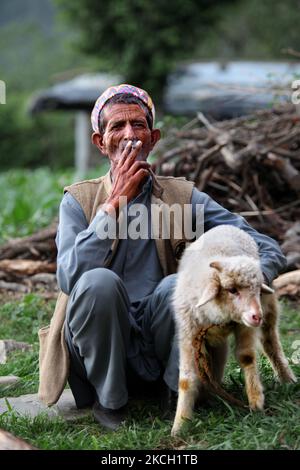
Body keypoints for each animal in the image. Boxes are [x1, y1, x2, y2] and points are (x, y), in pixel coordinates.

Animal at [171, 226, 296, 436]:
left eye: (257, 290)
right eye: (232, 290)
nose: (256, 316)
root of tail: (228, 226)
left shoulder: (244, 326)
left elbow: (246, 357)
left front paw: (255, 400)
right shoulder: (188, 333)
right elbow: (186, 379)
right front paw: (180, 425)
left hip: (269, 310)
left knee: (271, 343)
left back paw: (288, 380)